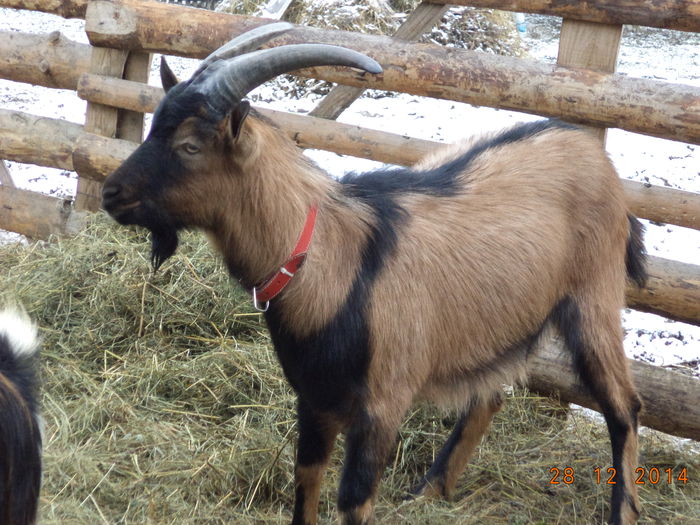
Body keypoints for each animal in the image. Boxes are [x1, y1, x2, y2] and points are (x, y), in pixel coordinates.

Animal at [101, 22, 648, 520]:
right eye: (154, 126)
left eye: (190, 146)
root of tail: (589, 148)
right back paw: (429, 490)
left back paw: (622, 510)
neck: (333, 263)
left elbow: (353, 500)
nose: (110, 193)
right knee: (491, 393)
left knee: (624, 406)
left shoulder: (382, 406)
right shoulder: (314, 400)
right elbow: (305, 483)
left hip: (593, 298)